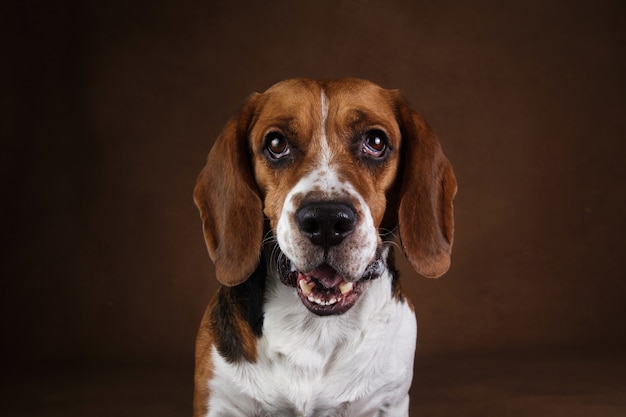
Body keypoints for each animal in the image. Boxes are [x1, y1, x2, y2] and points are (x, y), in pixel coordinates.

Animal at [193, 76, 456, 414]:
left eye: (376, 142)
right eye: (276, 144)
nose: (327, 220)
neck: (315, 329)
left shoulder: (390, 401)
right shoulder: (219, 402)